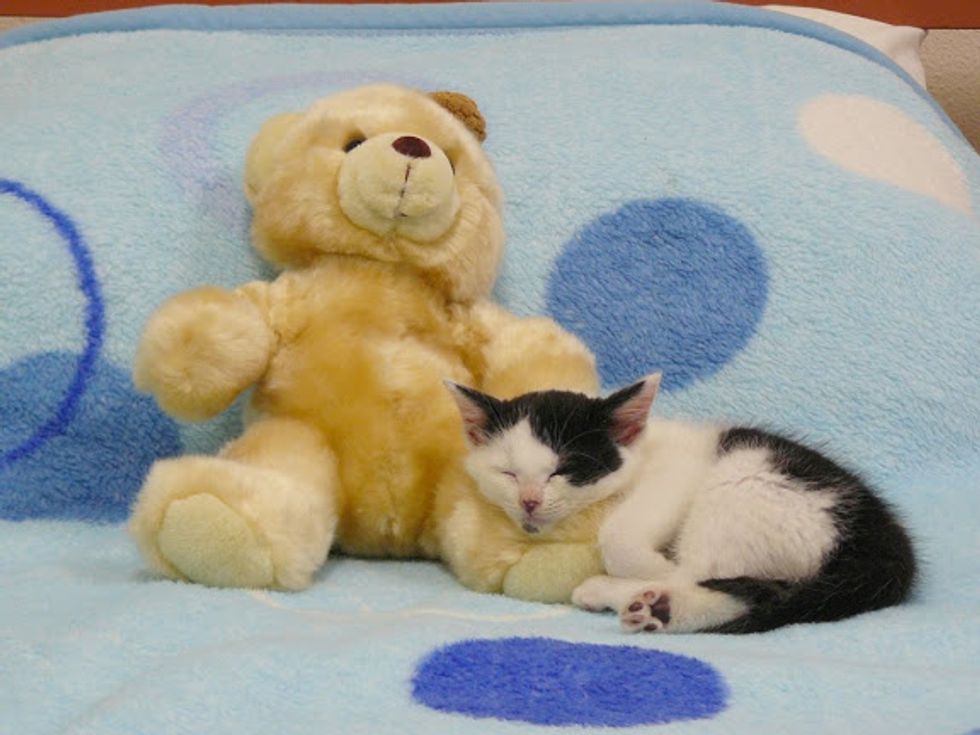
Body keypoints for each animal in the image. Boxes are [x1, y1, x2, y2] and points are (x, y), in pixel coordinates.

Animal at [446, 374, 916, 634]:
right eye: (508, 473)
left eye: (562, 470)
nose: (529, 501)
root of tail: (887, 545)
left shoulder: (679, 469)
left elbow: (617, 535)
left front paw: (653, 568)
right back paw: (658, 608)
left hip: (745, 480)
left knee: (710, 574)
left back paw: (630, 591)